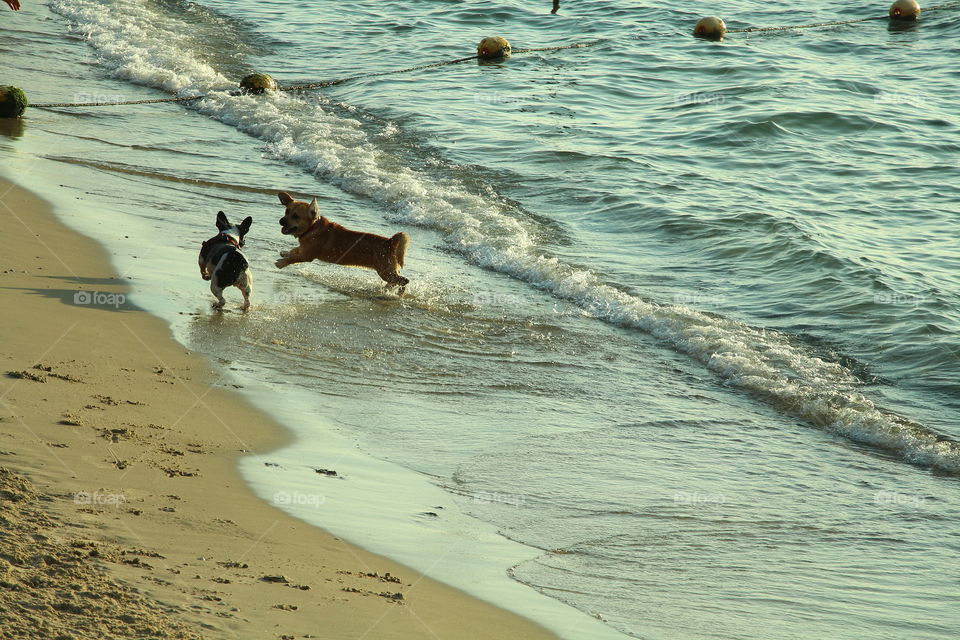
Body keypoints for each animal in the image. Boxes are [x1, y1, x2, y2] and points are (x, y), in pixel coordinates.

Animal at [274, 191, 408, 294]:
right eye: (286, 211)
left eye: (296, 216)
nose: (281, 221)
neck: (312, 228)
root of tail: (390, 242)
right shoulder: (303, 249)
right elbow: (294, 251)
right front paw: (285, 253)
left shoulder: (307, 256)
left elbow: (293, 259)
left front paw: (281, 263)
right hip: (387, 272)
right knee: (396, 281)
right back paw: (386, 289)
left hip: (385, 271)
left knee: (404, 281)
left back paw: (395, 292)